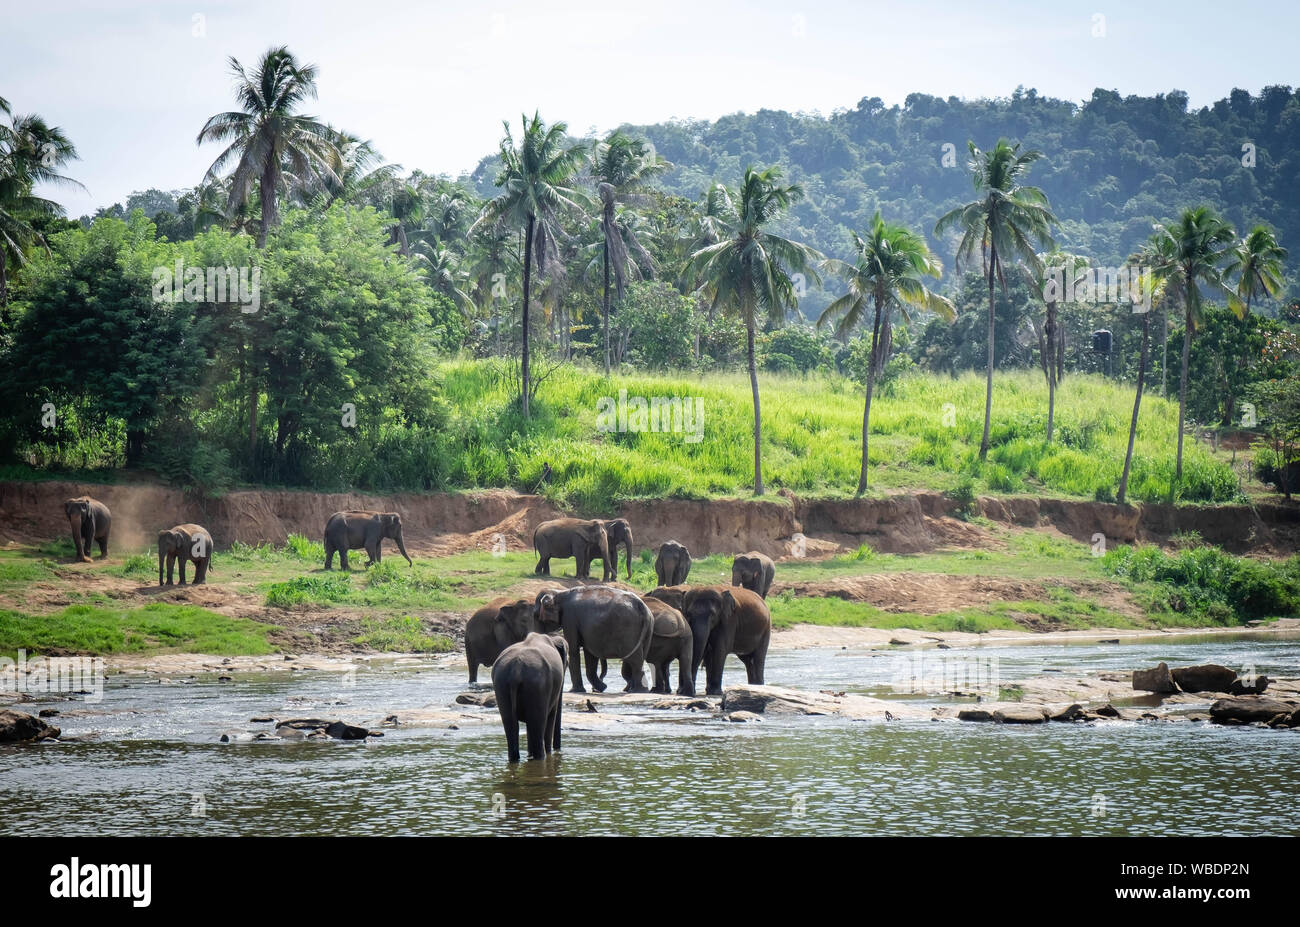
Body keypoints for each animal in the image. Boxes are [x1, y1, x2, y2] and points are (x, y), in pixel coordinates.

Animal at [492, 632, 568, 762]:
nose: (558, 750)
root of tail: (516, 670)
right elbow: (551, 716)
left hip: (501, 684)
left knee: (510, 724)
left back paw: (515, 759)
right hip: (538, 687)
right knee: (539, 723)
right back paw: (541, 757)